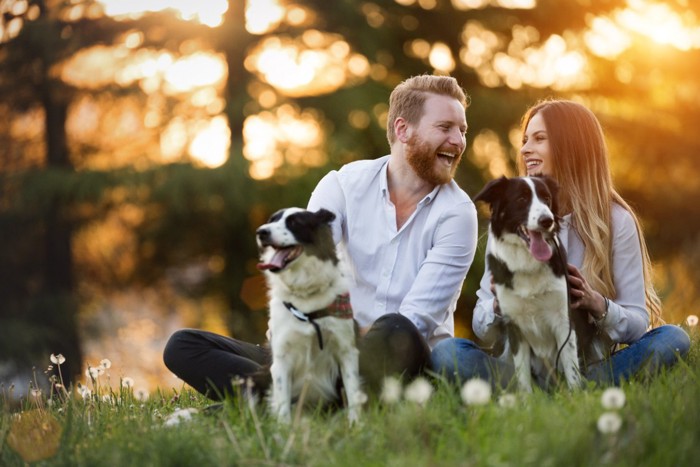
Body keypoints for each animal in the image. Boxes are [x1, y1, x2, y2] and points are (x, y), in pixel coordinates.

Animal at [256, 208, 366, 424]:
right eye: (271, 220)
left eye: (295, 223)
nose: (261, 232)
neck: (306, 296)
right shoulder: (281, 358)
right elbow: (282, 402)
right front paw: (283, 428)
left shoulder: (346, 350)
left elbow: (352, 391)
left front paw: (356, 424)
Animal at [476, 176, 592, 392]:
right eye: (521, 199)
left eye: (547, 198)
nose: (547, 220)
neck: (527, 262)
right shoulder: (514, 325)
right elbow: (523, 377)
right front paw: (526, 400)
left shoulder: (564, 320)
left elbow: (572, 370)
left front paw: (577, 396)